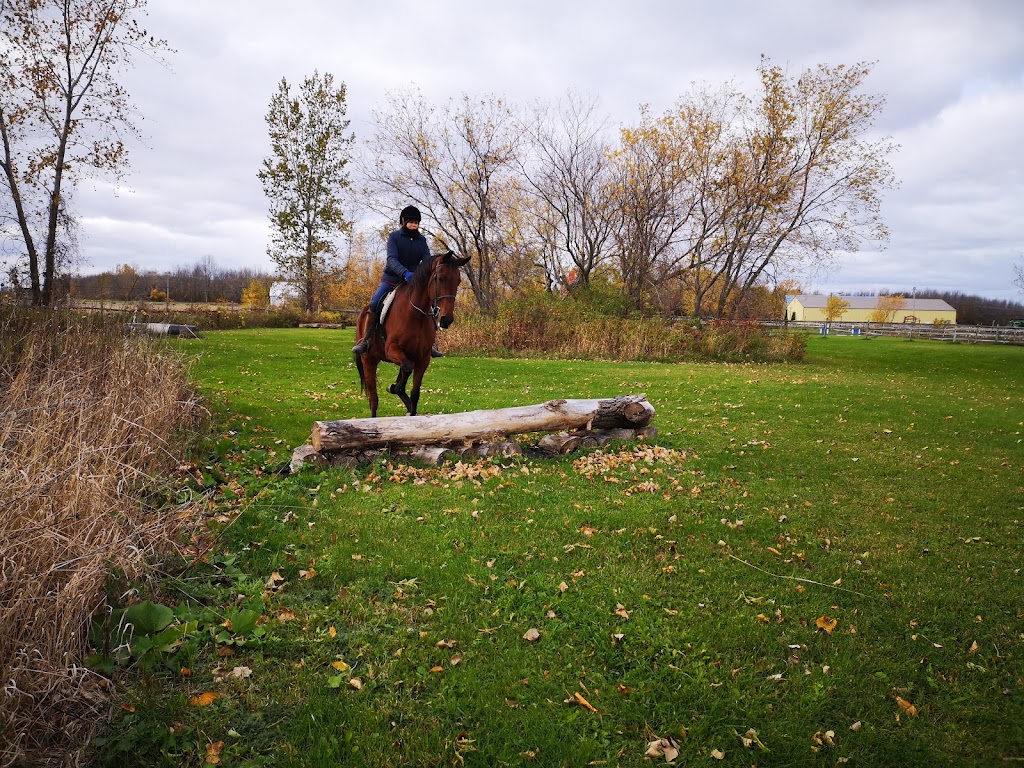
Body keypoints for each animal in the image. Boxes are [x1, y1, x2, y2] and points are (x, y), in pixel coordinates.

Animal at [354, 250, 468, 421]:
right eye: (440, 278)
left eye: (458, 281)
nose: (446, 319)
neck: (415, 314)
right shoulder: (392, 349)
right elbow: (407, 369)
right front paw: (394, 387)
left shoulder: (422, 358)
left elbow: (415, 392)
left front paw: (406, 403)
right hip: (369, 360)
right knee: (374, 399)